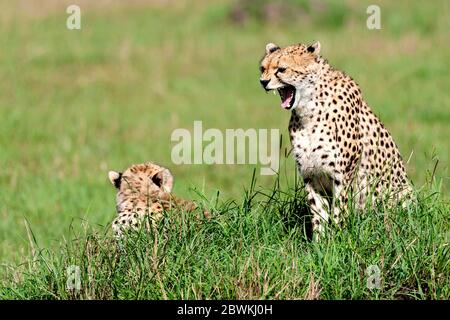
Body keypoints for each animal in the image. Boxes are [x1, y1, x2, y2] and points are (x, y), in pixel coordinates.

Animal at [260, 41, 412, 239]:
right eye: (263, 68)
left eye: (282, 69)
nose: (263, 82)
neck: (309, 110)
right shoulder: (312, 176)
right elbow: (318, 214)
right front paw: (319, 243)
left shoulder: (342, 177)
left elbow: (339, 212)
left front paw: (338, 239)